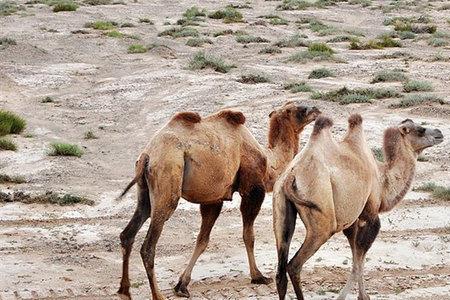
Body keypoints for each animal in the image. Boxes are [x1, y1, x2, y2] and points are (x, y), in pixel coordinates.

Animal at [116, 102, 320, 298]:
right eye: (300, 109)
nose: (316, 110)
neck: (269, 163)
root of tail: (147, 155)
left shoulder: (214, 199)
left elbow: (202, 240)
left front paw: (182, 285)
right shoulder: (253, 190)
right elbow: (248, 235)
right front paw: (258, 276)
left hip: (145, 190)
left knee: (129, 232)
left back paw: (125, 290)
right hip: (168, 175)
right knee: (148, 246)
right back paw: (157, 295)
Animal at [272, 113, 444, 298]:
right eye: (420, 130)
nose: (440, 133)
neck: (383, 181)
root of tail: (291, 177)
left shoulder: (352, 222)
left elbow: (356, 259)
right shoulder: (370, 215)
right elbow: (360, 259)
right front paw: (359, 296)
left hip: (280, 206)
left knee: (281, 271)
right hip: (322, 219)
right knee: (294, 265)